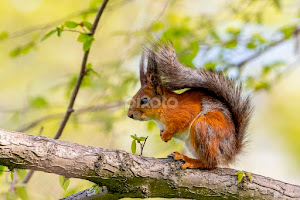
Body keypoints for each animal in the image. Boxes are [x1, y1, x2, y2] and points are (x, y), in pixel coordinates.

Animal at [127, 41, 252, 169]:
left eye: (144, 100)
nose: (129, 115)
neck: (161, 112)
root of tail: (230, 151)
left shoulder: (184, 112)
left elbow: (179, 122)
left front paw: (166, 135)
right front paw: (162, 134)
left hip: (203, 128)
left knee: (210, 162)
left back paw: (189, 160)